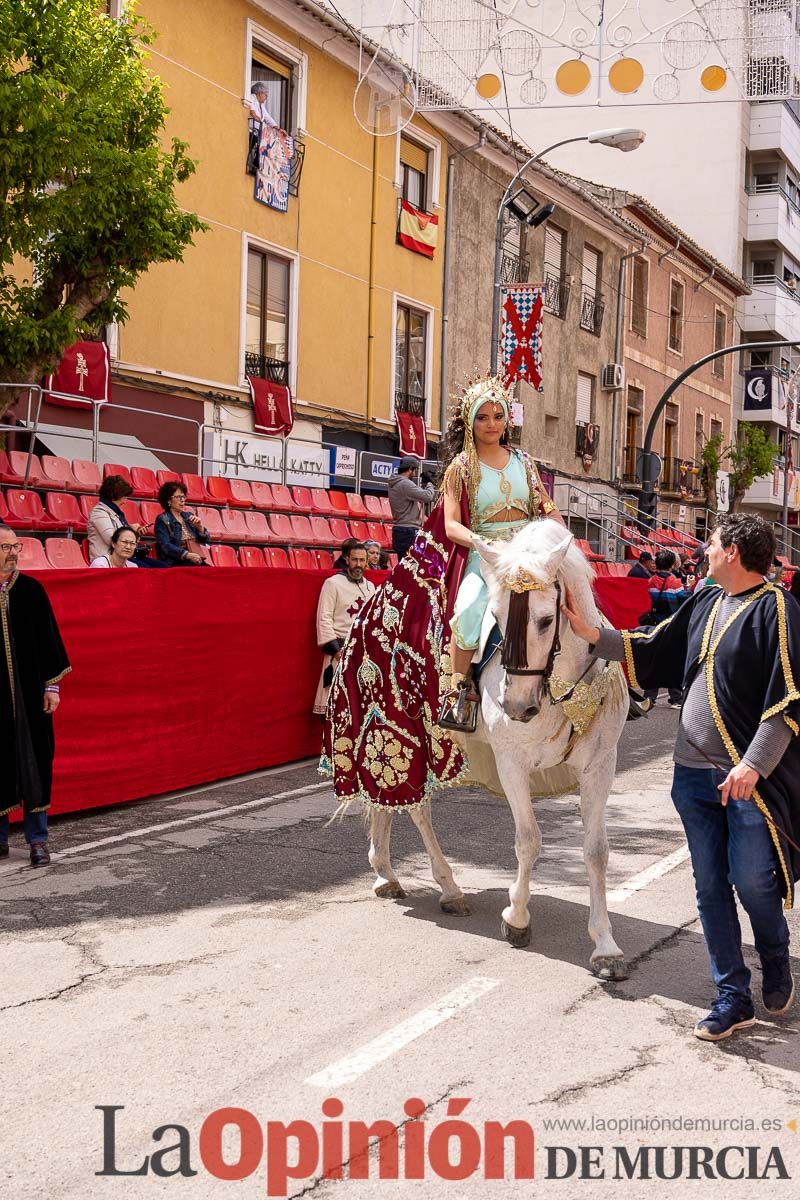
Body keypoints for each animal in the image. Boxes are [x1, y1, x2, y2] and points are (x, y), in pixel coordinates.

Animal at [369, 520, 633, 979]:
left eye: (546, 620)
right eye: (495, 618)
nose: (517, 707)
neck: (559, 686)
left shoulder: (601, 764)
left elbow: (596, 850)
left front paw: (605, 947)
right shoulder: (511, 763)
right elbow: (528, 840)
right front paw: (517, 918)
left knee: (393, 803)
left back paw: (388, 873)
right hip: (404, 737)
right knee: (415, 808)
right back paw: (445, 886)